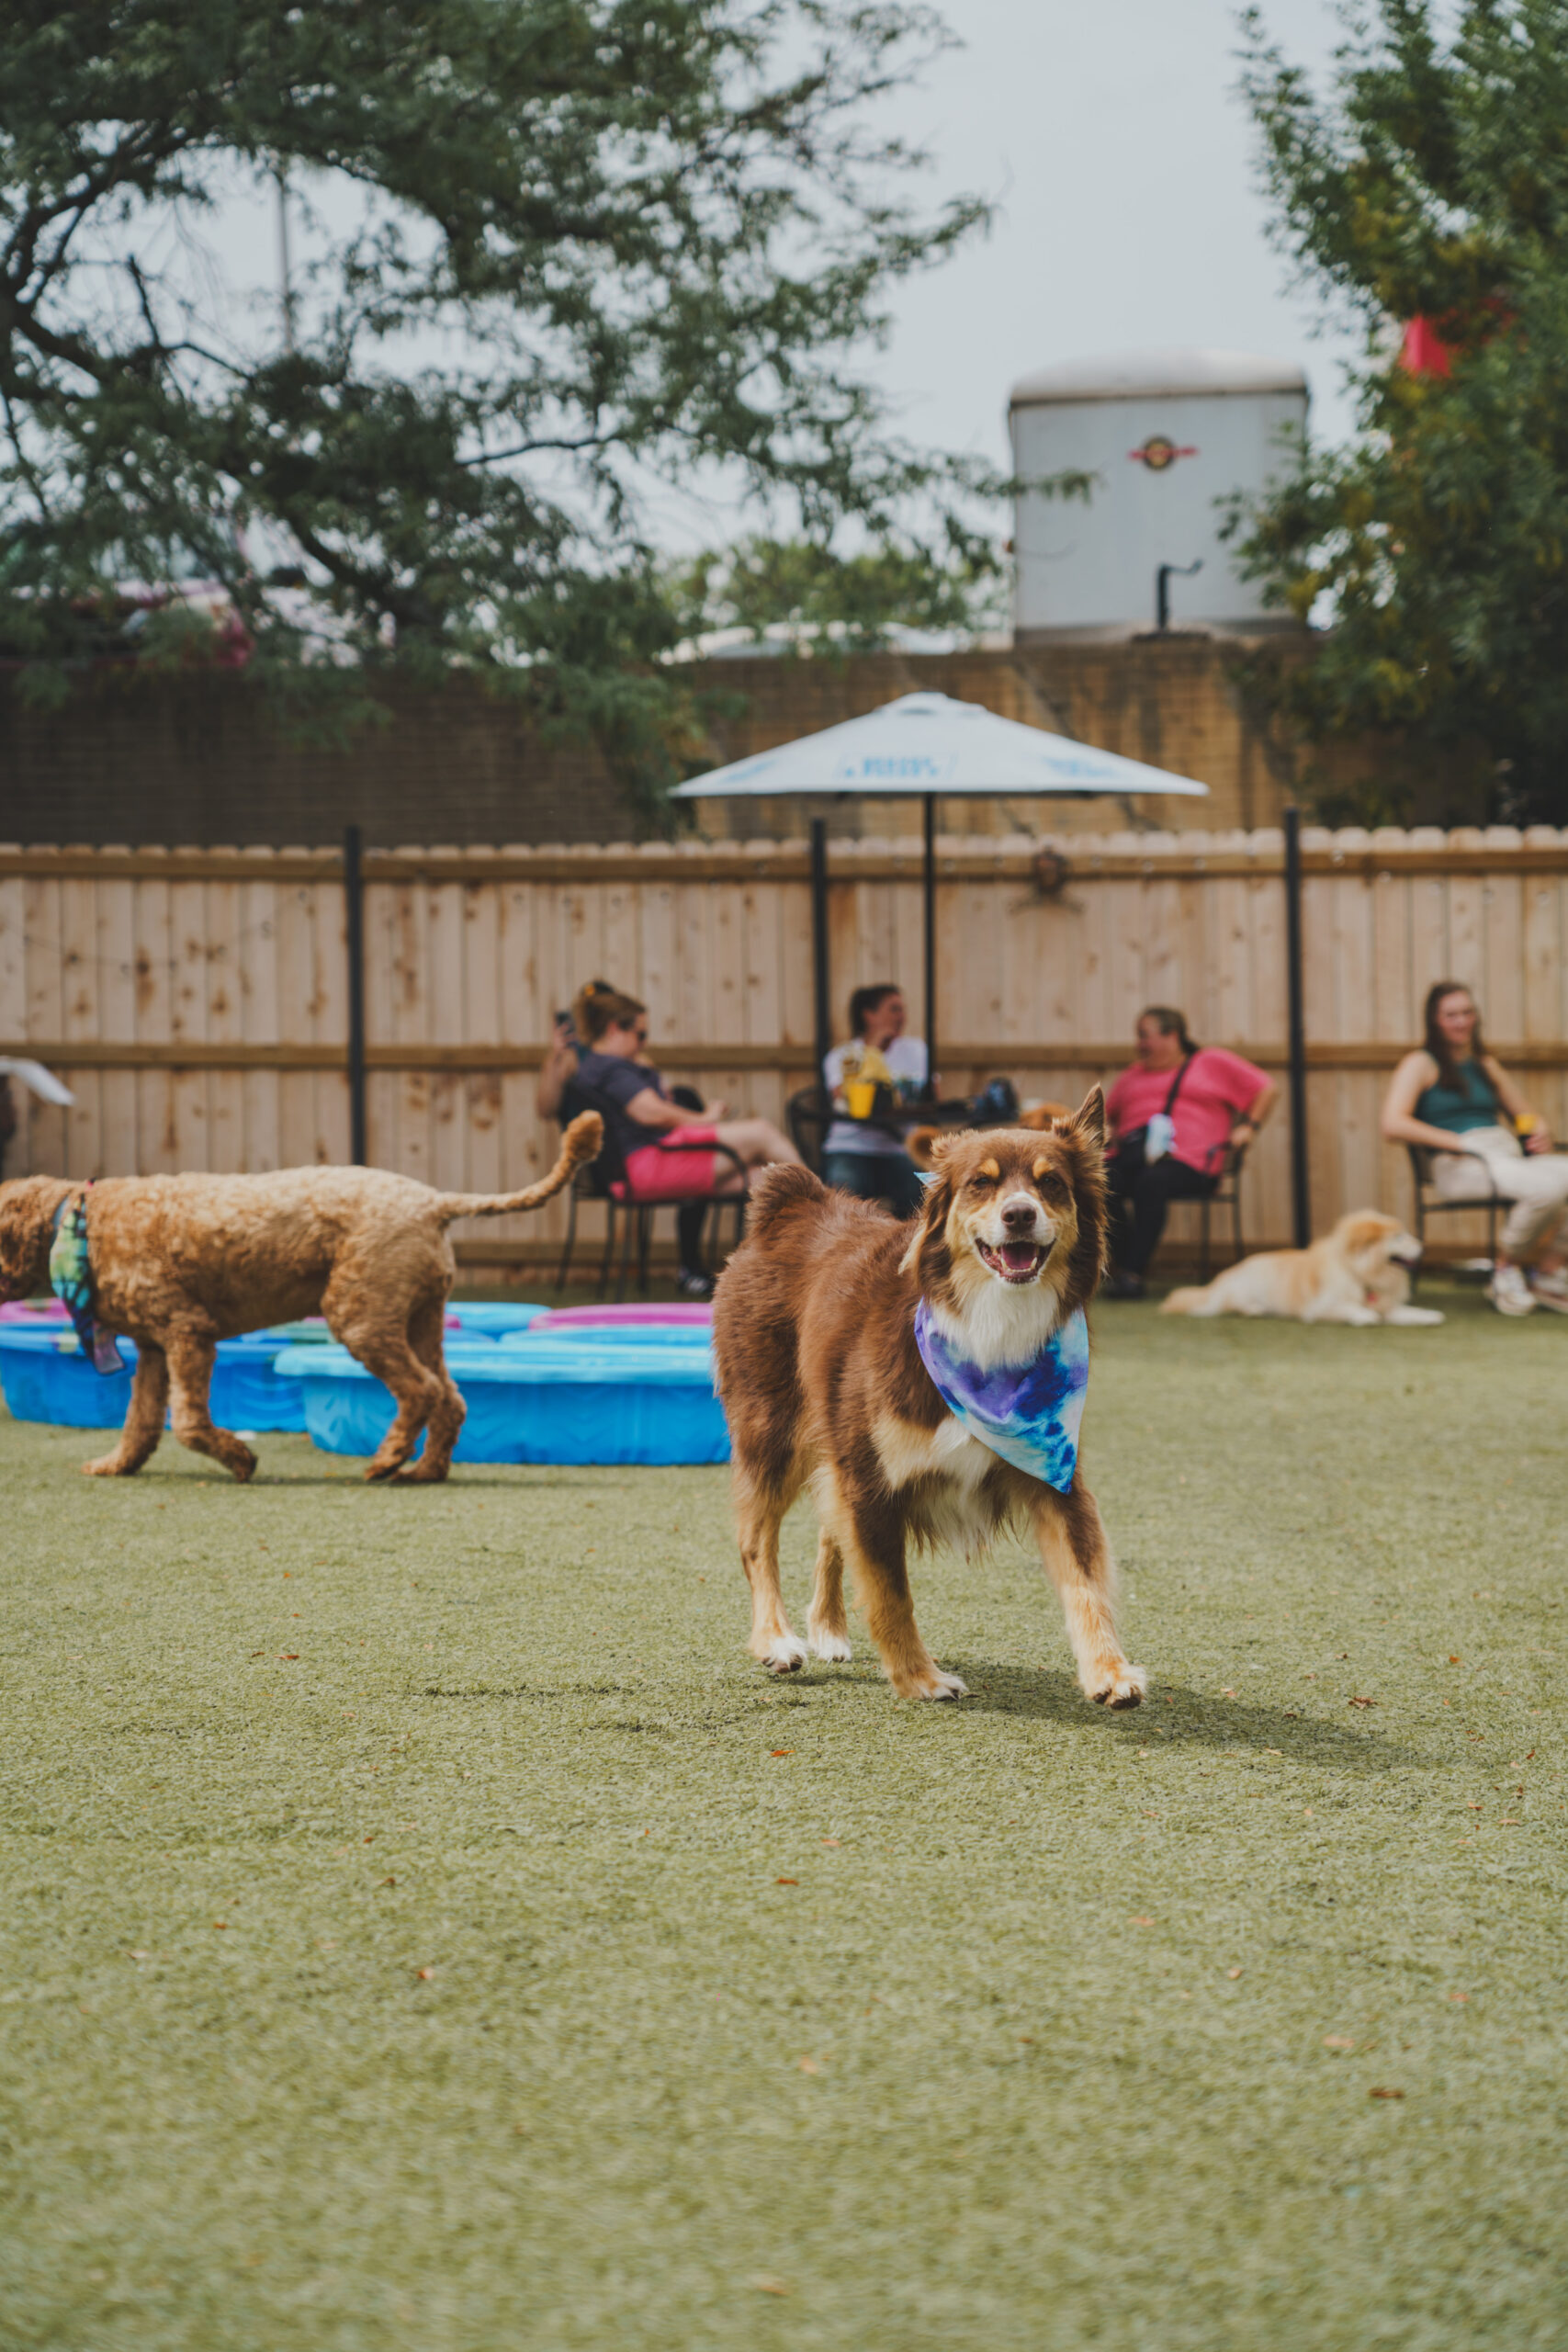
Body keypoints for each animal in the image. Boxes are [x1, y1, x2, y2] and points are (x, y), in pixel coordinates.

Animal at [0, 1110, 602, 1476]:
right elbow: (141, 1421)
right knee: (450, 1399)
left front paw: (240, 1459)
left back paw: (386, 1461)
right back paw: (425, 1471)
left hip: (361, 1315)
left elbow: (189, 1423)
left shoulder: (187, 1333)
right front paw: (116, 1465)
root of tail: (434, 1201)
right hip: (420, 1317)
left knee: (421, 1391)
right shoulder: (153, 1350)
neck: (76, 1220)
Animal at [719, 1081, 1146, 1712]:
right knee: (756, 1541)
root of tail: (797, 1200)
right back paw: (775, 1639)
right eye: (980, 1184)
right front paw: (920, 1678)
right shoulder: (871, 1481)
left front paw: (1109, 1671)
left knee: (827, 1530)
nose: (1019, 1214)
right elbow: (890, 1591)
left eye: (1051, 1183)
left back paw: (827, 1629)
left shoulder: (1056, 1470)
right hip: (772, 1433)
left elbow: (1086, 1582)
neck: (991, 1329)